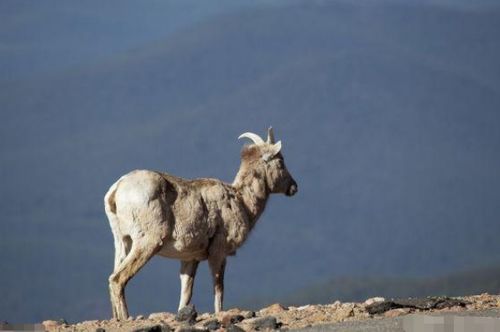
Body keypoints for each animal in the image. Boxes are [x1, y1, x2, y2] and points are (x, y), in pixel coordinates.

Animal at [103, 127, 294, 320]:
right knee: (117, 279)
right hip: (147, 242)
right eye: (281, 162)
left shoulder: (190, 259)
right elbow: (219, 290)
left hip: (122, 241)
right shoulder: (218, 253)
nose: (294, 187)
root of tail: (116, 191)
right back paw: (125, 318)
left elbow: (186, 294)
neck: (242, 201)